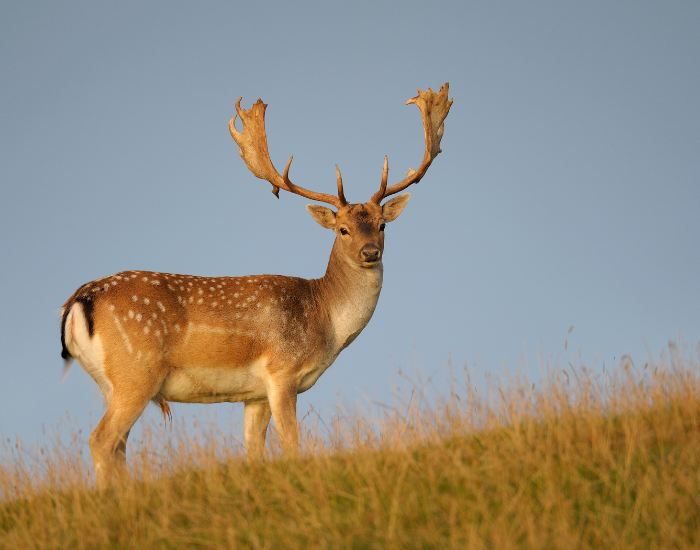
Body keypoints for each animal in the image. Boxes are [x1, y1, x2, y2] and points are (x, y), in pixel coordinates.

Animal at [60, 83, 452, 488]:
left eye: (382, 225)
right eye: (342, 229)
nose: (370, 252)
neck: (325, 321)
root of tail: (78, 300)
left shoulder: (255, 394)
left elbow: (253, 452)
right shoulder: (282, 372)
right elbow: (292, 444)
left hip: (111, 383)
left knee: (118, 445)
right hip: (136, 373)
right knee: (101, 440)